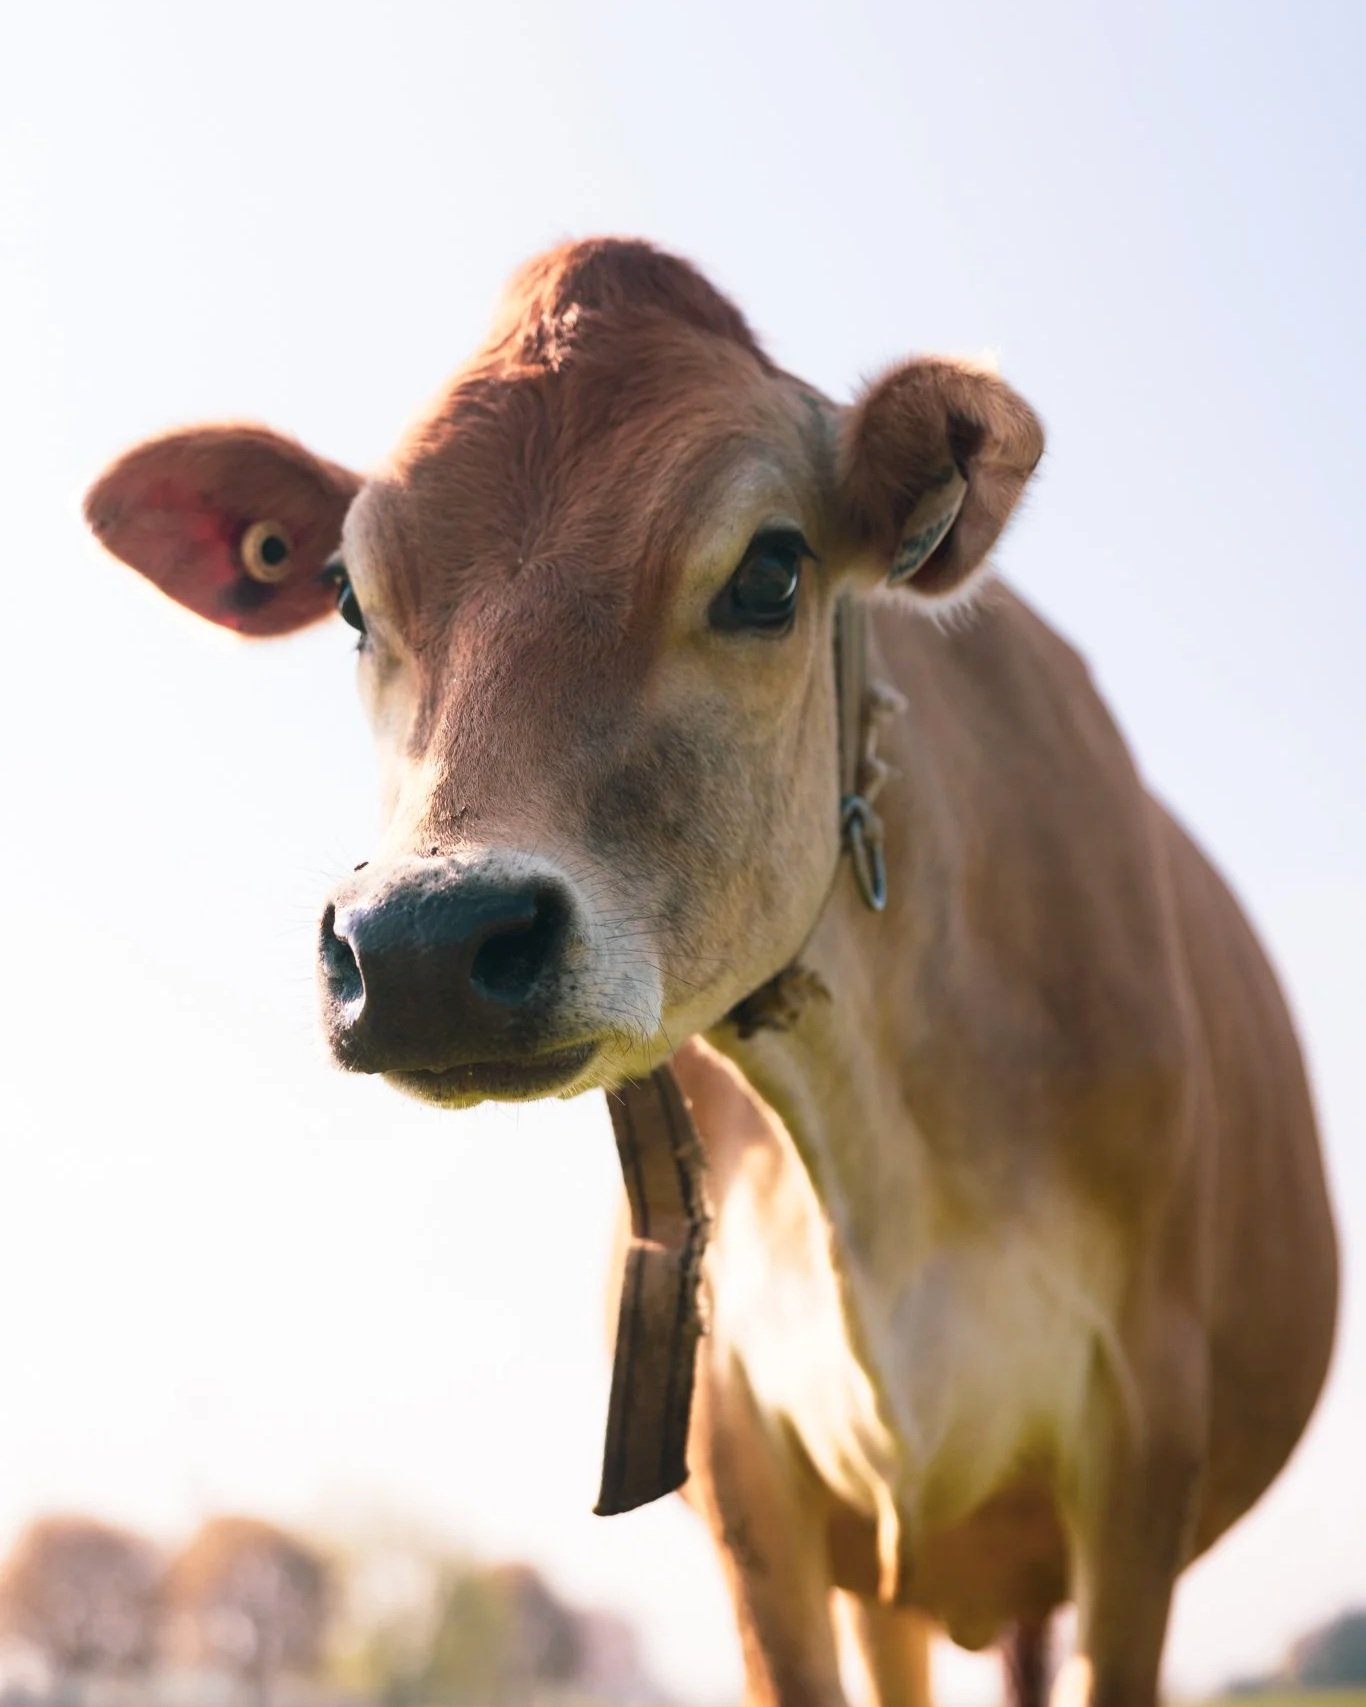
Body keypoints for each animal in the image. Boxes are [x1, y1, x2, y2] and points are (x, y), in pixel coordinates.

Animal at [85, 238, 1338, 1707]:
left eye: (769, 572)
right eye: (347, 596)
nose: (422, 943)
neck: (886, 1149)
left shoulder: (1139, 1449)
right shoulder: (747, 1465)